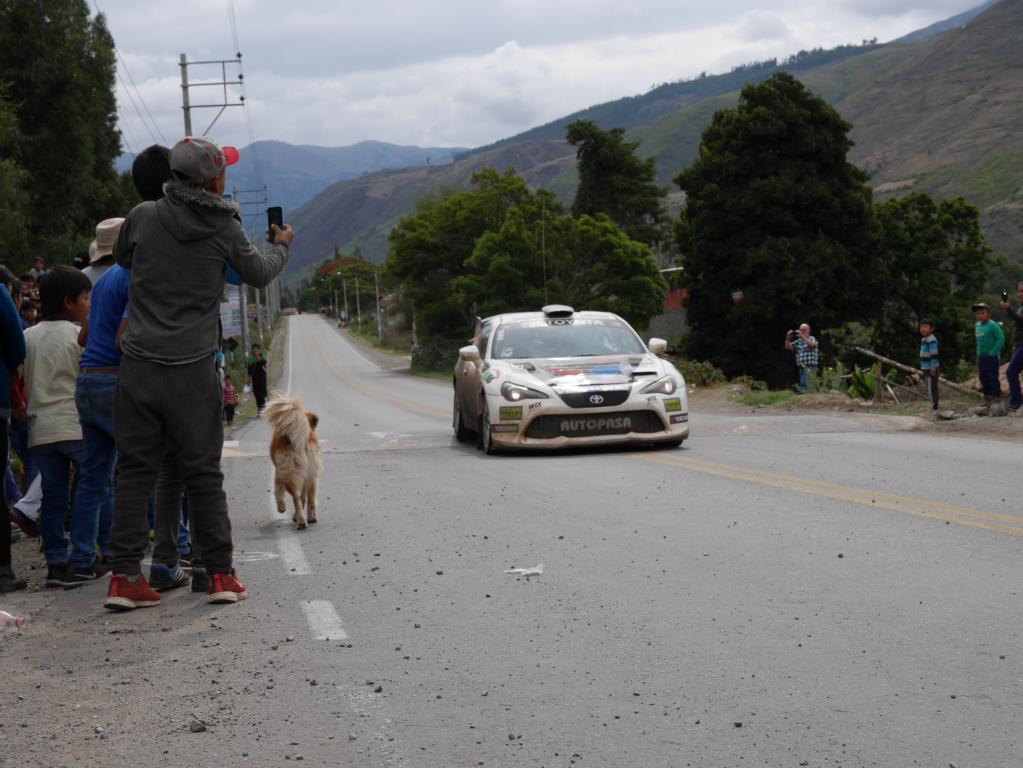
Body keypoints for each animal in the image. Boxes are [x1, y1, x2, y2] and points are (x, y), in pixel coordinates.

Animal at [261, 396, 321, 527]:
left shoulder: (278, 474)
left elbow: (278, 491)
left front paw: (281, 508)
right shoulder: (312, 479)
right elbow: (310, 498)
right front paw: (312, 516)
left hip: (290, 474)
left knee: (296, 497)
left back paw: (300, 520)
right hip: (309, 474)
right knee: (304, 497)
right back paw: (306, 518)